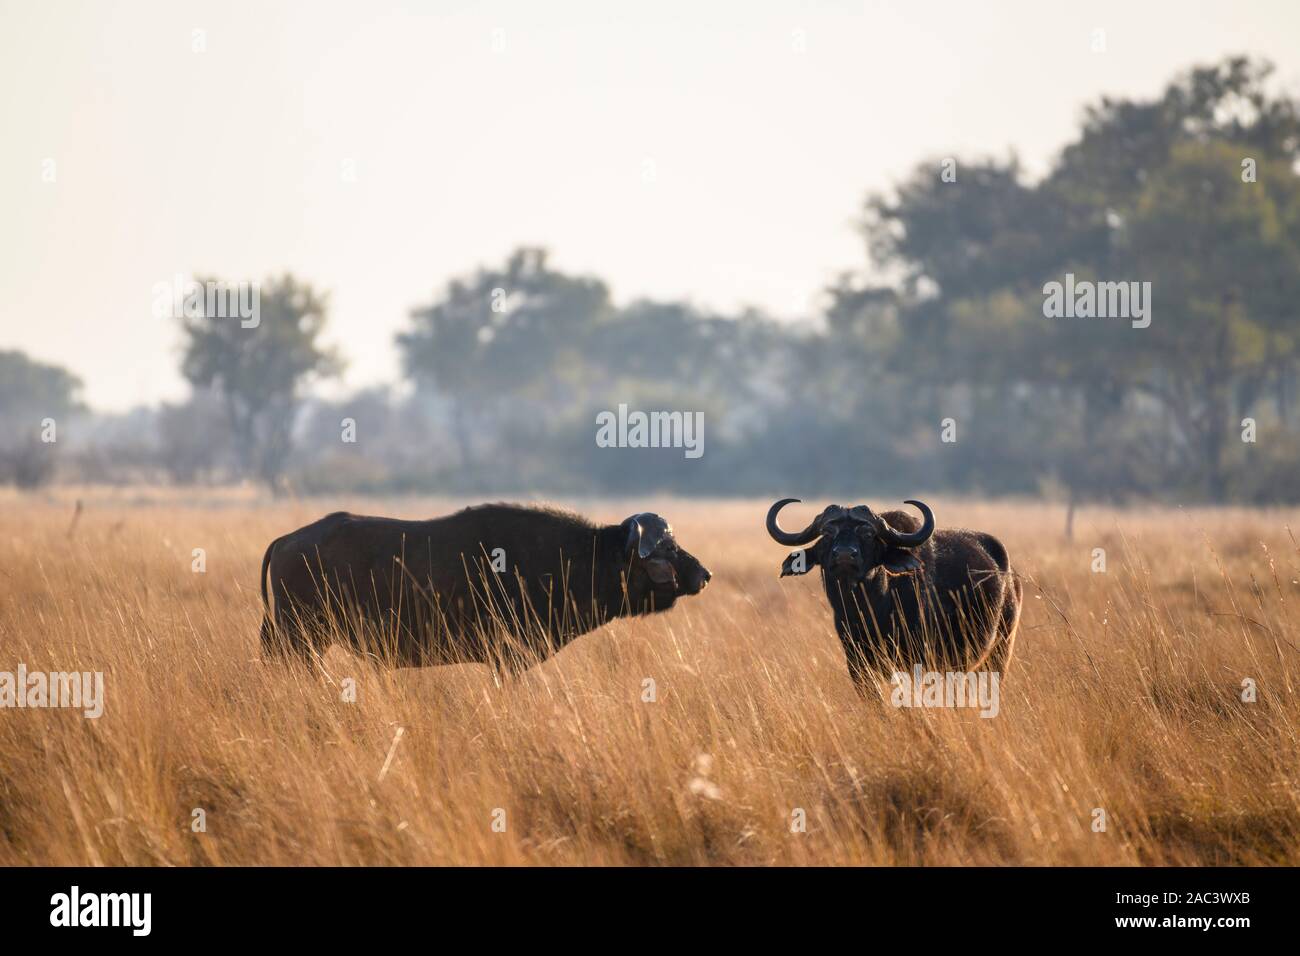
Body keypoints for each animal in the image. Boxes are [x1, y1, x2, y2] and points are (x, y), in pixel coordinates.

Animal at [766, 498, 1021, 689]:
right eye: (827, 533)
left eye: (868, 534)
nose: (845, 555)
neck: (868, 610)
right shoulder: (857, 662)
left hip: (1001, 649)